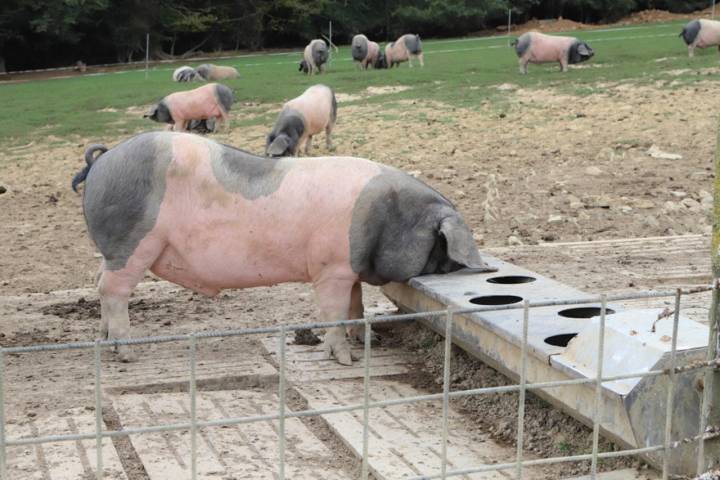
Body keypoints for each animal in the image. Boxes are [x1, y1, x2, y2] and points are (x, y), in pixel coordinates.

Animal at [70, 131, 496, 364]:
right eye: (442, 245)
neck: (387, 215)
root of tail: (103, 160)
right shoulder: (330, 269)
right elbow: (333, 314)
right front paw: (346, 360)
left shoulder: (349, 270)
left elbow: (356, 306)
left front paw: (368, 341)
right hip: (132, 242)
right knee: (113, 289)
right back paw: (126, 351)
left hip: (113, 251)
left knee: (99, 283)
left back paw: (105, 342)